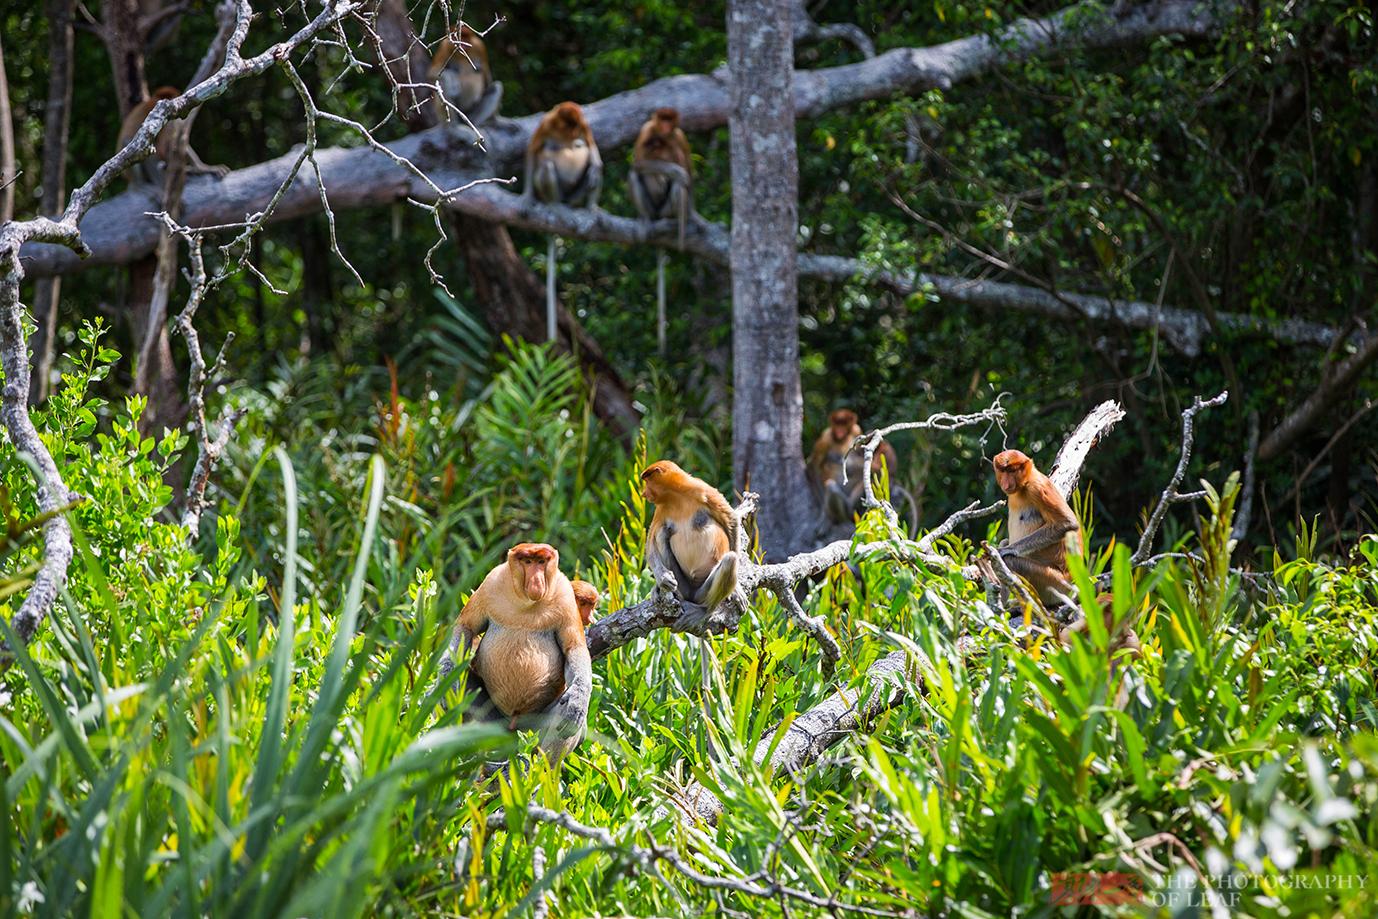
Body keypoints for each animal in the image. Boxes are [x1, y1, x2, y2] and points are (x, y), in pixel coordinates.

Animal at [446, 542, 587, 760]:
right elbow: (466, 626)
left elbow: (574, 646)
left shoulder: (565, 596)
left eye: (541, 562)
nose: (536, 582)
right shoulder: (490, 583)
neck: (526, 604)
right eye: (527, 561)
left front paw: (578, 700)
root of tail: (513, 728)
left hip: (532, 728)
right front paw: (445, 675)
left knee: (564, 719)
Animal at [523, 100, 600, 343]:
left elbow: (592, 148)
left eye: (575, 130)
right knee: (546, 165)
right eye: (567, 129)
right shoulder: (545, 123)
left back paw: (589, 210)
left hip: (575, 195)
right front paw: (526, 197)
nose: (574, 137)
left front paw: (594, 164)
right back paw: (556, 206)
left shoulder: (584, 124)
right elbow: (532, 151)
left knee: (593, 166)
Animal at [631, 106, 694, 352]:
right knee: (635, 174)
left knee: (679, 186)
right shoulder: (647, 131)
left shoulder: (679, 136)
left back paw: (675, 221)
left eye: (670, 120)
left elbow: (686, 169)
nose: (666, 127)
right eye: (662, 119)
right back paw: (646, 219)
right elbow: (639, 163)